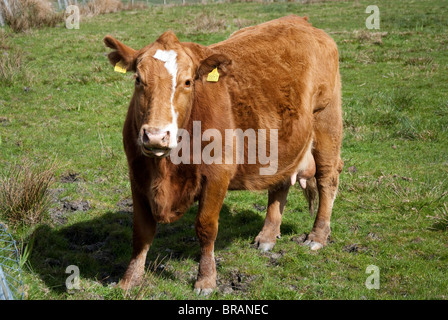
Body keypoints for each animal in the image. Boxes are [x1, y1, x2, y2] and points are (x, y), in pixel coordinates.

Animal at [104, 15, 344, 296]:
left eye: (188, 81)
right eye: (138, 80)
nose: (155, 136)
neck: (166, 168)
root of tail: (301, 21)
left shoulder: (217, 176)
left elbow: (206, 227)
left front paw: (206, 280)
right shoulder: (137, 174)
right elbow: (141, 231)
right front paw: (129, 280)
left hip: (327, 122)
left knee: (328, 178)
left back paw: (317, 236)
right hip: (283, 144)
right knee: (280, 182)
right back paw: (267, 236)